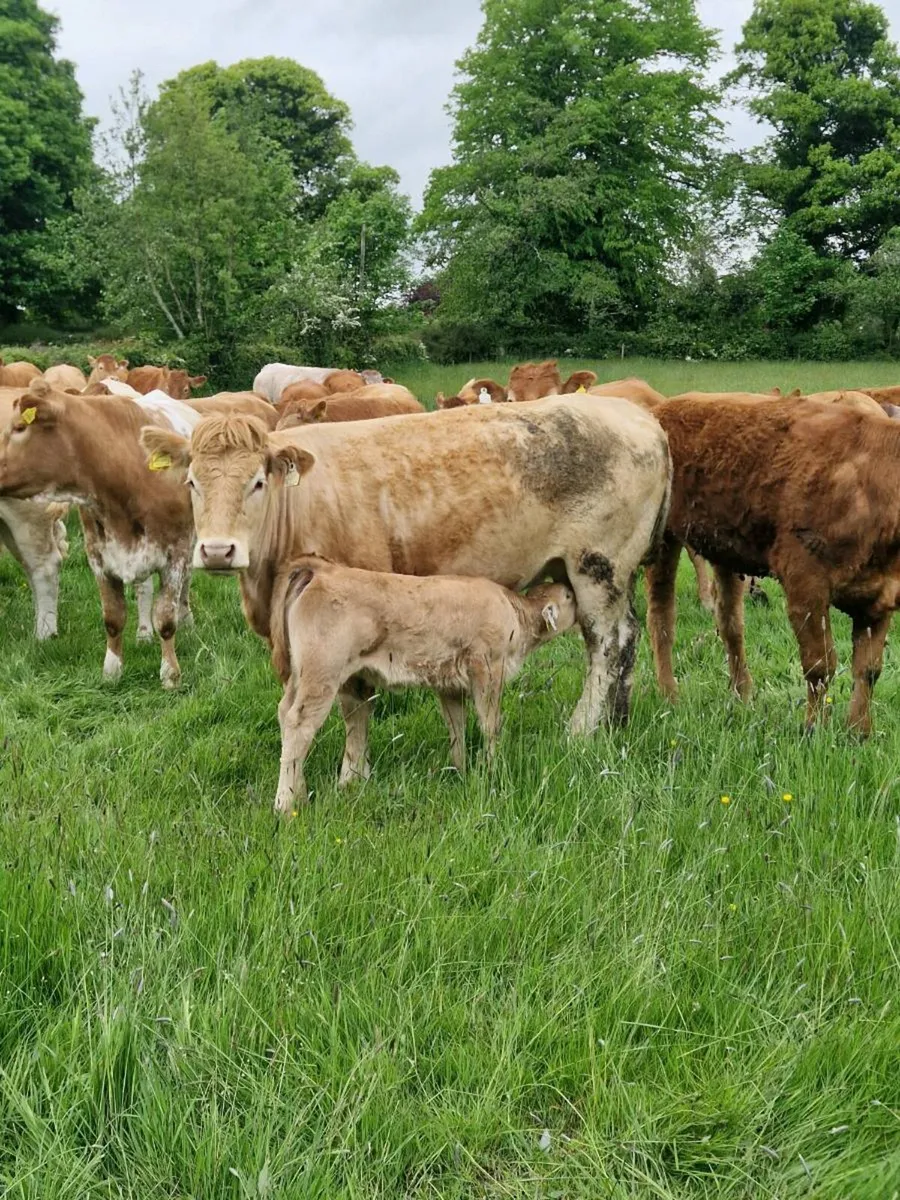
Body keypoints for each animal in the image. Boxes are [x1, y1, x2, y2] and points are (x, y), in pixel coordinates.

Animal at [0, 379, 200, 686]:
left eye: (20, 427)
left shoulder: (175, 554)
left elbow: (166, 619)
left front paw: (170, 675)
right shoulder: (99, 555)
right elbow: (113, 617)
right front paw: (112, 671)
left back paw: (186, 619)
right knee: (144, 588)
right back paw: (144, 633)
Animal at [140, 397, 672, 735]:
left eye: (256, 482)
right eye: (191, 482)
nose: (217, 551)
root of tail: (637, 415)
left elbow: (354, 700)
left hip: (598, 566)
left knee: (607, 645)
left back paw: (581, 730)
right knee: (627, 638)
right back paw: (616, 722)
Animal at [269, 560, 576, 809]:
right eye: (569, 596)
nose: (571, 586)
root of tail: (321, 571)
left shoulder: (450, 683)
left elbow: (456, 726)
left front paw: (460, 770)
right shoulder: (488, 669)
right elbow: (490, 724)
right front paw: (492, 767)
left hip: (300, 674)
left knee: (284, 713)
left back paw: (300, 792)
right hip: (322, 672)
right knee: (299, 724)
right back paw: (286, 804)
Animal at [644, 395, 900, 735]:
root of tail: (661, 408)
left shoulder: (878, 599)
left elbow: (868, 670)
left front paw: (859, 732)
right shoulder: (805, 584)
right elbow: (820, 665)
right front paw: (813, 729)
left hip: (725, 552)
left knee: (730, 623)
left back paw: (742, 696)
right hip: (662, 541)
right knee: (661, 617)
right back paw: (669, 695)